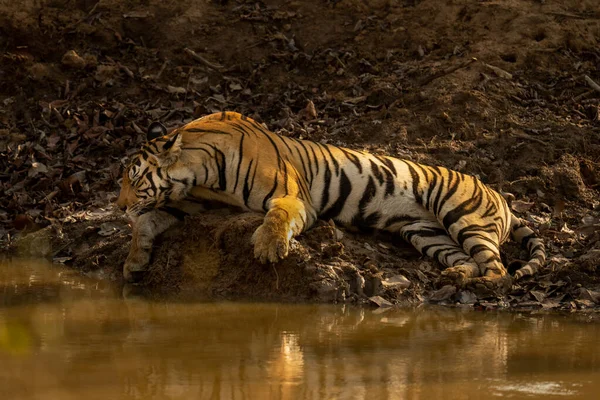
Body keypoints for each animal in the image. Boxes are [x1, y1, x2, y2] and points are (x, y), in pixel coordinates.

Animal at [115, 111, 548, 290]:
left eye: (134, 179)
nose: (118, 206)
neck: (201, 171)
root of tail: (500, 195)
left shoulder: (293, 196)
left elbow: (277, 216)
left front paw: (268, 248)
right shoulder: (192, 201)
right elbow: (147, 221)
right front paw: (134, 261)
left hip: (458, 213)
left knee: (498, 268)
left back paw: (485, 286)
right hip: (426, 233)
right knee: (466, 260)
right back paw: (455, 277)